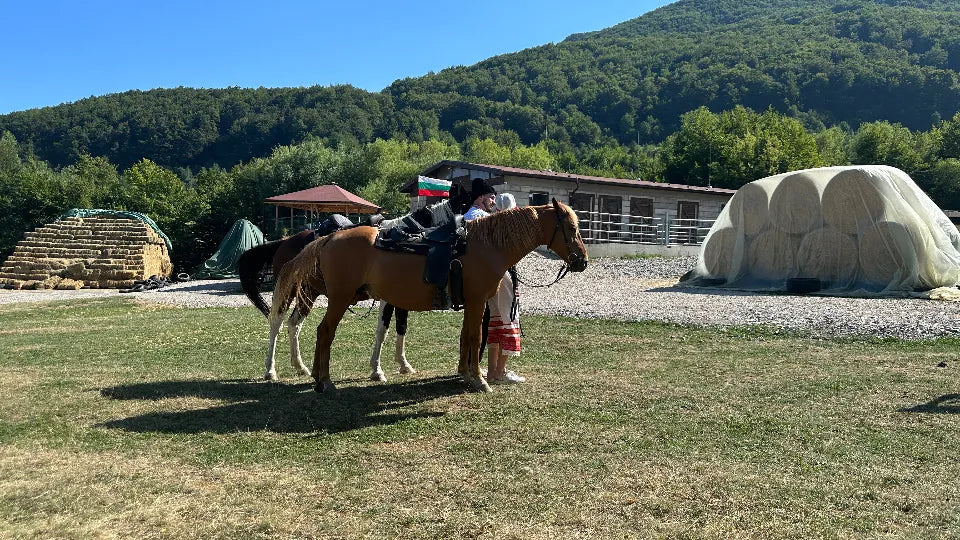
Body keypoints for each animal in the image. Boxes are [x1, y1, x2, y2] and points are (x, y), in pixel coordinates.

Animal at [238, 184, 472, 381]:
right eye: (467, 206)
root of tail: (284, 243)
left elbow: (400, 327)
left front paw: (403, 364)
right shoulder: (389, 298)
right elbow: (383, 329)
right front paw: (378, 370)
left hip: (309, 294)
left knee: (294, 323)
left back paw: (301, 367)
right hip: (290, 293)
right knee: (276, 323)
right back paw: (270, 370)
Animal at [270, 199, 588, 393]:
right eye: (571, 228)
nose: (582, 261)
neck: (485, 245)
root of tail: (328, 238)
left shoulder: (471, 304)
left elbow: (465, 336)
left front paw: (465, 373)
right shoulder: (477, 302)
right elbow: (475, 337)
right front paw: (480, 380)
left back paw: (314, 375)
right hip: (337, 299)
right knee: (322, 332)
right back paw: (322, 381)